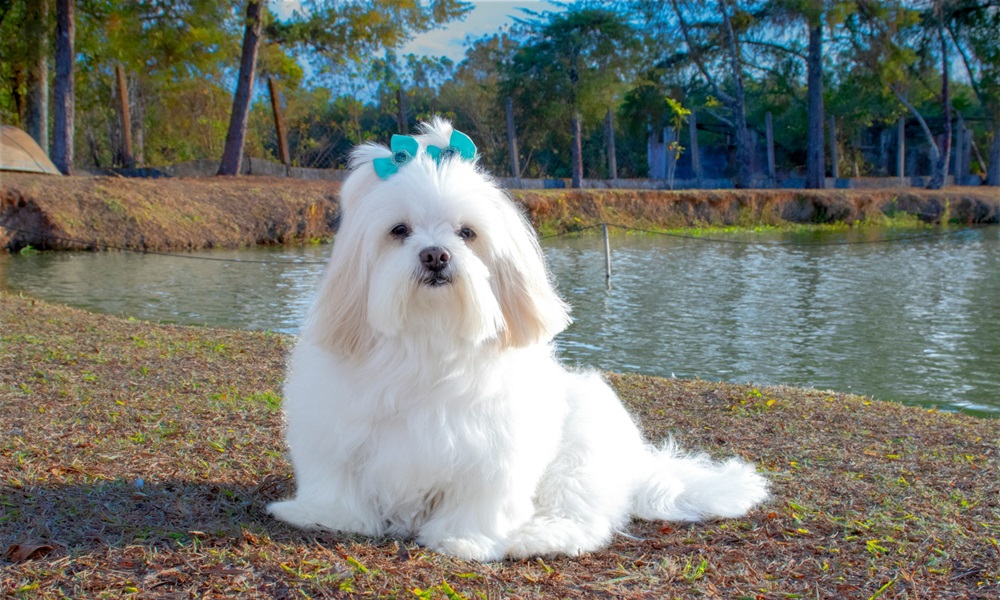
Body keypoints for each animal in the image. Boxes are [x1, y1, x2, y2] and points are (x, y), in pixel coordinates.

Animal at [270, 118, 768, 564]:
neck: (429, 339)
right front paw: (326, 517)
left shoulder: (492, 451)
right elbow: (336, 482)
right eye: (399, 231)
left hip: (579, 457)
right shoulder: (335, 432)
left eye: (467, 233)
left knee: (582, 519)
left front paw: (464, 541)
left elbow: (480, 501)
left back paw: (537, 538)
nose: (436, 255)